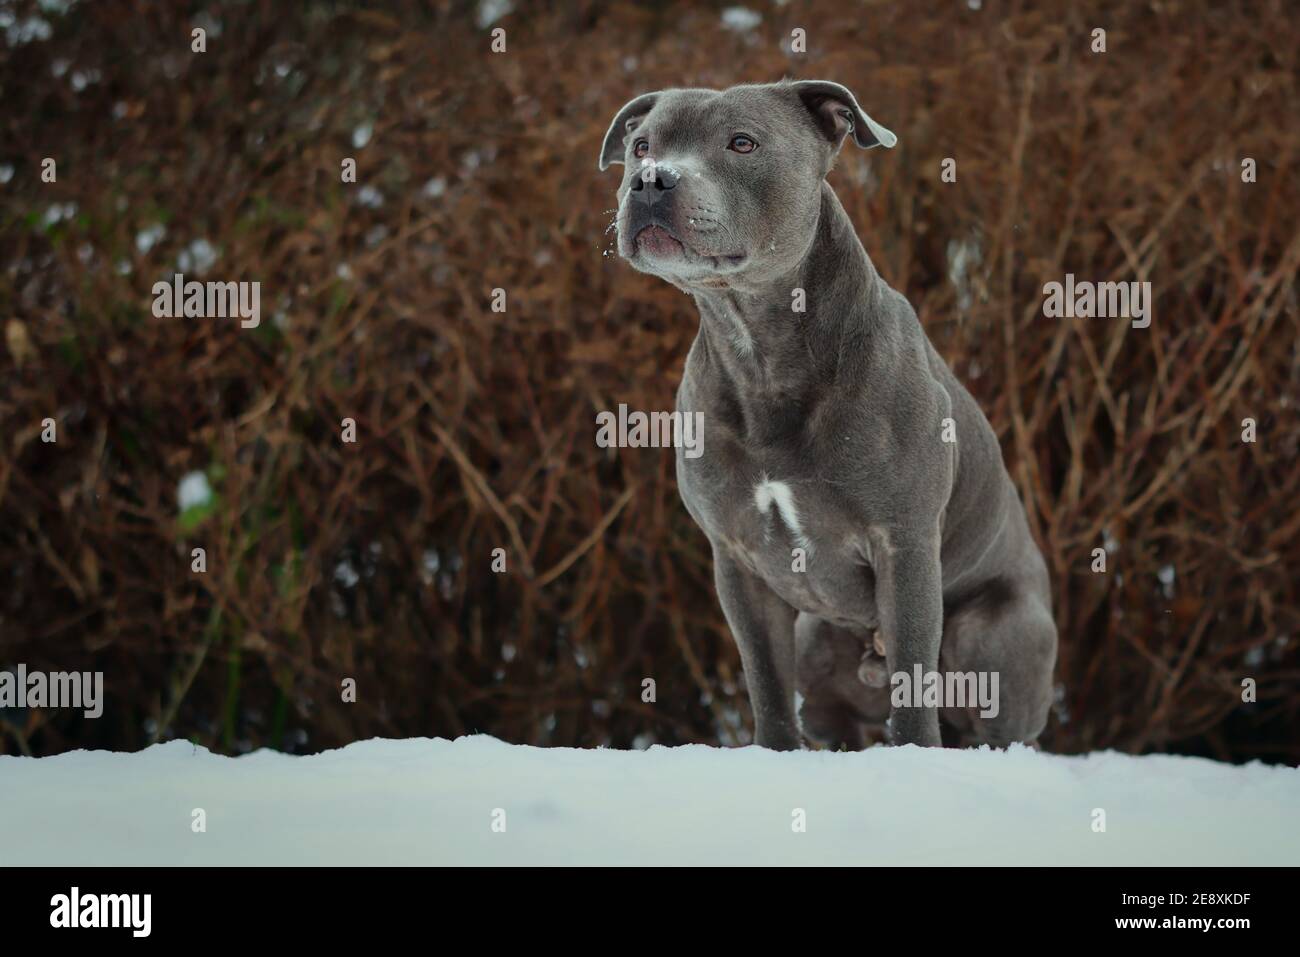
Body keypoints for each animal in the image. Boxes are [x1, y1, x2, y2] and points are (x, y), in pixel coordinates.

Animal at [598, 82, 1055, 748]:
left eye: (742, 142)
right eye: (640, 145)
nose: (651, 179)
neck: (759, 346)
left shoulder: (903, 541)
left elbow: (913, 677)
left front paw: (917, 757)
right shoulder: (737, 560)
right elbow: (765, 679)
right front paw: (775, 753)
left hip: (992, 635)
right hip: (819, 645)